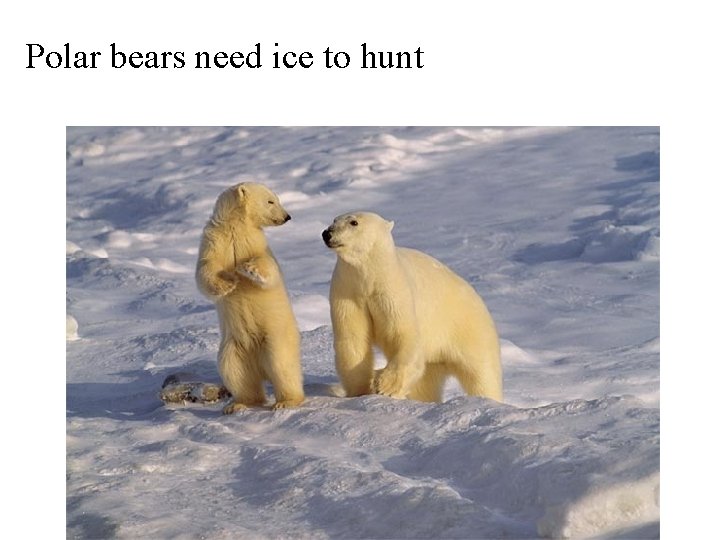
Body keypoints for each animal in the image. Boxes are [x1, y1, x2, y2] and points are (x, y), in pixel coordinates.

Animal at [196, 182, 304, 414]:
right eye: (270, 201)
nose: (287, 216)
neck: (237, 227)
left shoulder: (256, 242)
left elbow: (269, 268)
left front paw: (247, 267)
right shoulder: (214, 240)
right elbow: (205, 269)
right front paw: (228, 282)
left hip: (275, 337)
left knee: (282, 363)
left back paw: (287, 401)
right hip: (234, 346)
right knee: (234, 370)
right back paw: (239, 404)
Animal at [322, 211, 502, 403]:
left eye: (353, 222)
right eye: (334, 220)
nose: (327, 233)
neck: (368, 279)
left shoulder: (394, 290)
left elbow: (403, 334)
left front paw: (384, 386)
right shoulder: (348, 291)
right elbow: (352, 338)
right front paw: (361, 391)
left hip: (470, 329)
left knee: (482, 374)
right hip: (436, 359)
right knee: (426, 384)